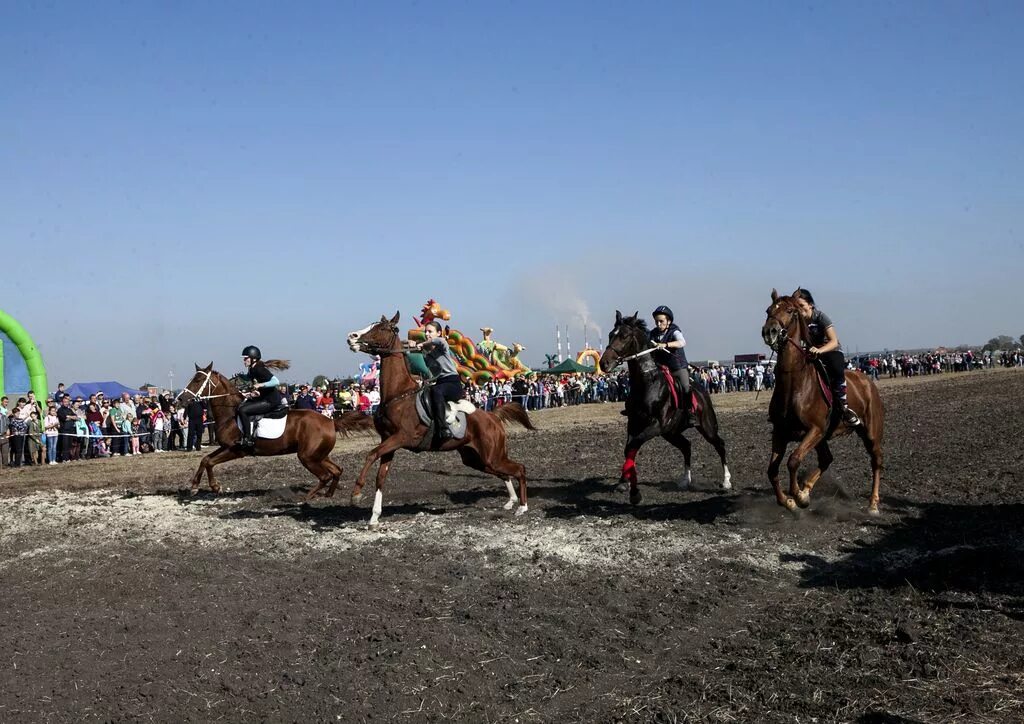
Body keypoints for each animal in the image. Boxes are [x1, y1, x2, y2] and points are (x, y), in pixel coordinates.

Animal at [178, 364, 370, 501]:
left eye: (197, 380)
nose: (180, 399)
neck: (230, 414)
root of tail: (330, 421)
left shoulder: (235, 451)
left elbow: (210, 462)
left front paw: (215, 486)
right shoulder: (225, 447)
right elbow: (205, 459)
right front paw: (194, 486)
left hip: (307, 457)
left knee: (325, 475)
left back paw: (306, 498)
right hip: (318, 455)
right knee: (337, 471)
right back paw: (328, 494)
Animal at [339, 313, 536, 524]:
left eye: (382, 328)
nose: (351, 337)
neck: (398, 395)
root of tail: (492, 416)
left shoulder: (401, 438)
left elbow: (371, 454)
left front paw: (356, 493)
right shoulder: (388, 440)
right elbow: (380, 477)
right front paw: (374, 517)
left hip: (492, 456)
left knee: (519, 469)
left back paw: (522, 506)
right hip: (476, 459)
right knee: (504, 473)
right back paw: (511, 501)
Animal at [598, 309, 733, 503]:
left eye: (624, 336)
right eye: (610, 335)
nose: (604, 364)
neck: (647, 382)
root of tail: (702, 391)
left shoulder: (656, 425)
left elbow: (633, 446)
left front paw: (634, 491)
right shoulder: (634, 423)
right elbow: (628, 449)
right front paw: (623, 482)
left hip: (706, 427)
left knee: (719, 445)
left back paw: (726, 481)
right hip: (671, 432)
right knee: (686, 446)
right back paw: (685, 480)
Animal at [757, 288, 884, 516]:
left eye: (790, 310)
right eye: (768, 310)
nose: (769, 332)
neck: (795, 384)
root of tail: (867, 380)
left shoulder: (814, 430)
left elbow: (793, 460)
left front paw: (798, 496)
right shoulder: (781, 433)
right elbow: (772, 470)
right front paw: (791, 500)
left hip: (870, 431)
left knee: (876, 461)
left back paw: (873, 504)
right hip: (824, 438)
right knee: (826, 459)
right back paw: (807, 489)